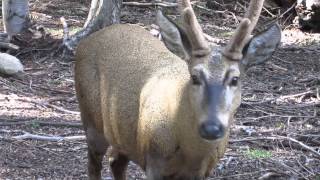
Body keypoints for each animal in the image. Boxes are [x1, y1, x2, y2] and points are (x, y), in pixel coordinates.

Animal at [75, 0, 280, 179]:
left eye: (235, 79)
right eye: (195, 77)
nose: (211, 128)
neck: (191, 155)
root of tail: (86, 42)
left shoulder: (203, 171)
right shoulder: (153, 162)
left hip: (121, 134)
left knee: (115, 161)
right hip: (90, 120)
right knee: (94, 165)